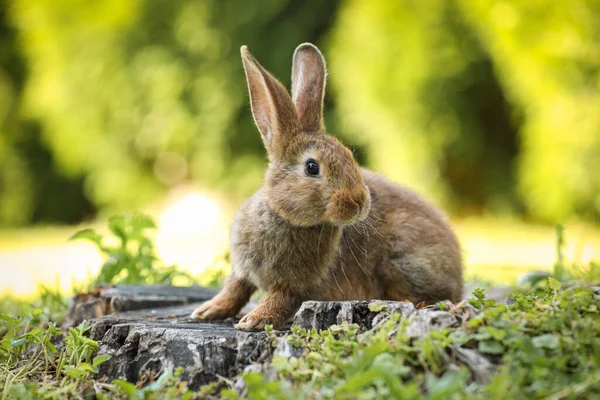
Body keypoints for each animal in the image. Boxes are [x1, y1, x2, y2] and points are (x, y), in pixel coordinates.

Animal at [190, 43, 462, 332]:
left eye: (349, 157)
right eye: (312, 167)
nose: (359, 202)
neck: (285, 217)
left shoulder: (298, 285)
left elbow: (279, 299)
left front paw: (254, 320)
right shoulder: (242, 271)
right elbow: (234, 289)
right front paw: (208, 311)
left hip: (401, 263)